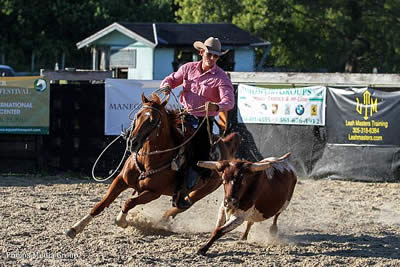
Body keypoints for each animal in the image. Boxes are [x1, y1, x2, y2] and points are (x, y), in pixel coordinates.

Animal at [65, 93, 239, 239]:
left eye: (153, 121)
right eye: (137, 115)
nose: (133, 143)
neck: (148, 160)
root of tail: (225, 145)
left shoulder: (153, 193)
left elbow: (129, 203)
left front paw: (122, 221)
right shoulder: (120, 181)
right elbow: (101, 204)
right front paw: (75, 228)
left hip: (202, 191)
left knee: (181, 206)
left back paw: (160, 223)